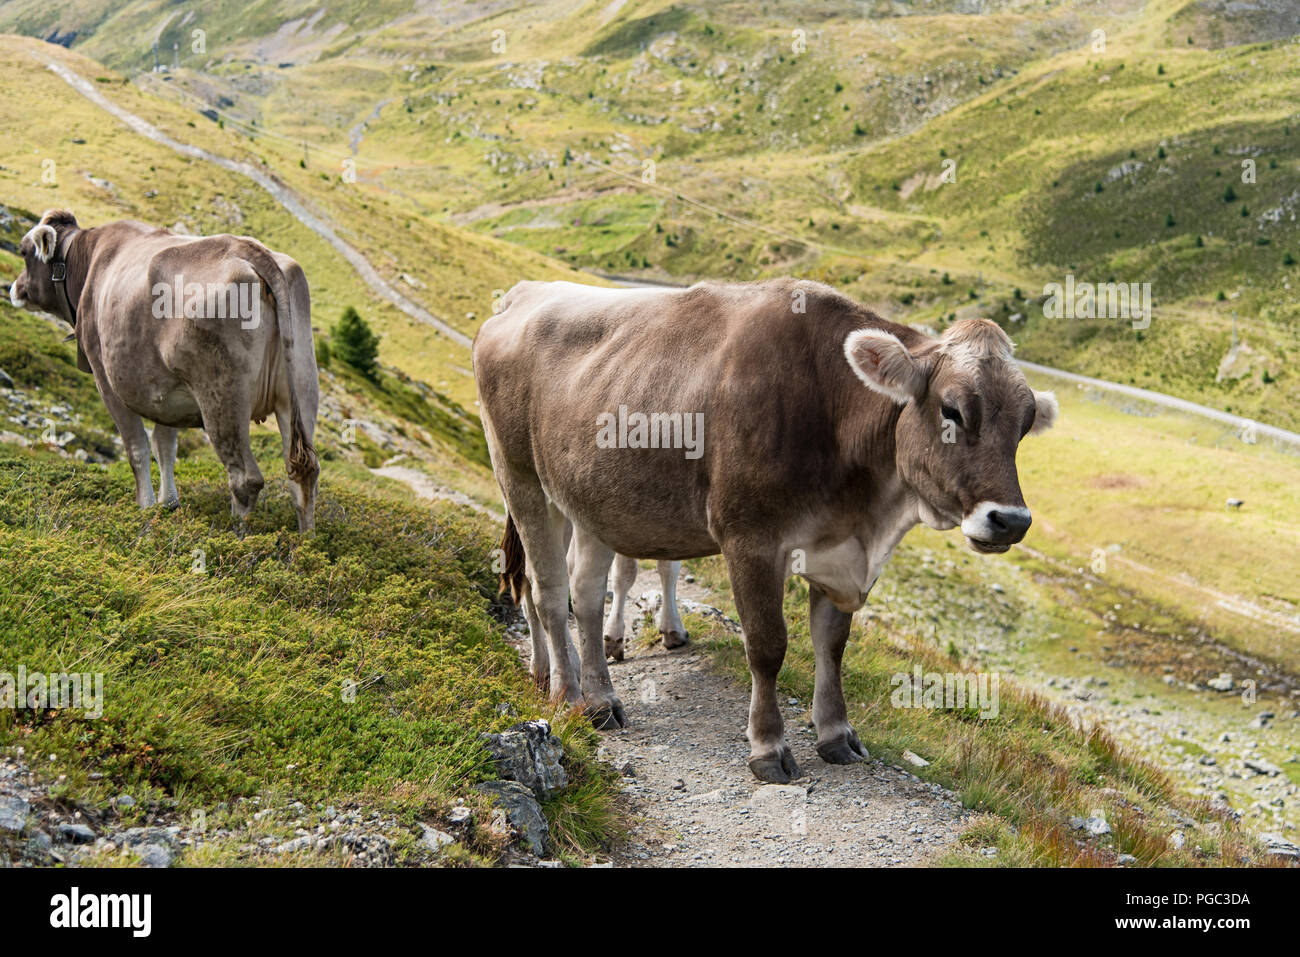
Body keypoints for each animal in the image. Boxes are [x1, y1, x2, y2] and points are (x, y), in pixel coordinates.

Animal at [9, 210, 319, 532]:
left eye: (24, 252)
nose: (15, 288)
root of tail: (248, 249)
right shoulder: (168, 395)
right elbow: (164, 446)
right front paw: (168, 503)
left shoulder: (106, 379)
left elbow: (137, 448)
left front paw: (145, 507)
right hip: (301, 385)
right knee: (303, 474)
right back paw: (306, 540)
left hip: (222, 396)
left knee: (245, 479)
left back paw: (239, 536)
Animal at [475, 278, 1057, 783]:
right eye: (952, 409)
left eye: (1026, 423)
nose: (1011, 520)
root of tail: (521, 293)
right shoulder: (750, 539)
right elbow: (767, 646)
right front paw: (768, 748)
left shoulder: (836, 550)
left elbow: (832, 645)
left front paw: (836, 734)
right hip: (520, 477)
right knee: (548, 593)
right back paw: (566, 693)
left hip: (592, 499)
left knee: (588, 593)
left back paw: (600, 699)